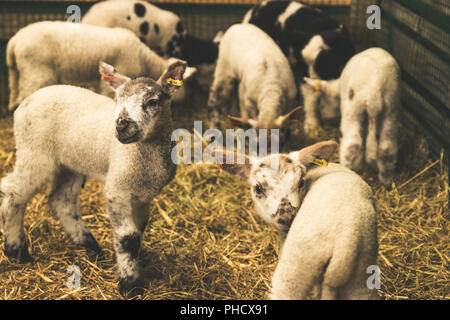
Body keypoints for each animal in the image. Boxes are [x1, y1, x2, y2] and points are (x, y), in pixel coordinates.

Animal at [5, 21, 195, 110]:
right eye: (181, 84)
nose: (187, 101)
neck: (144, 57)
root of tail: (14, 42)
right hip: (36, 71)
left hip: (16, 70)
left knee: (13, 90)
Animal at [216, 141, 378, 300]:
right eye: (258, 188)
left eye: (300, 183)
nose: (287, 217)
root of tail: (344, 247)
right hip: (362, 278)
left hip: (295, 269)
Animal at [243, 0, 356, 134]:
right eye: (305, 63)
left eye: (325, 64)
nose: (312, 80)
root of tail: (254, 9)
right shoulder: (303, 71)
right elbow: (310, 99)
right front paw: (312, 126)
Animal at [304, 47, 400, 182]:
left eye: (322, 103)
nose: (327, 119)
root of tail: (375, 92)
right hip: (390, 109)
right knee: (387, 147)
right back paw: (386, 179)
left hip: (353, 108)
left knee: (352, 144)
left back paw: (346, 168)